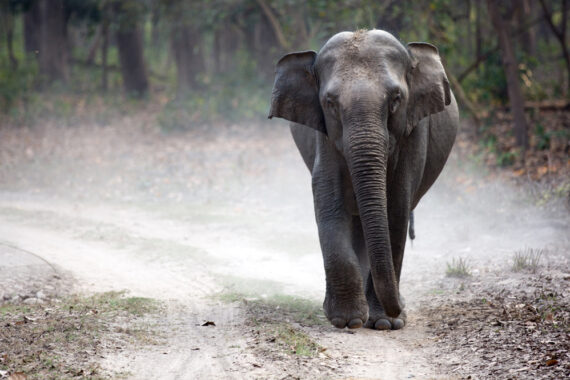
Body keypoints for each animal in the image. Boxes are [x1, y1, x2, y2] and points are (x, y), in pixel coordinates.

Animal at [266, 30, 458, 330]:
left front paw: (385, 323)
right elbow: (329, 202)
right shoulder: (324, 135)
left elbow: (396, 209)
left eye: (396, 99)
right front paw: (348, 320)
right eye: (330, 103)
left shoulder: (413, 132)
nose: (399, 307)